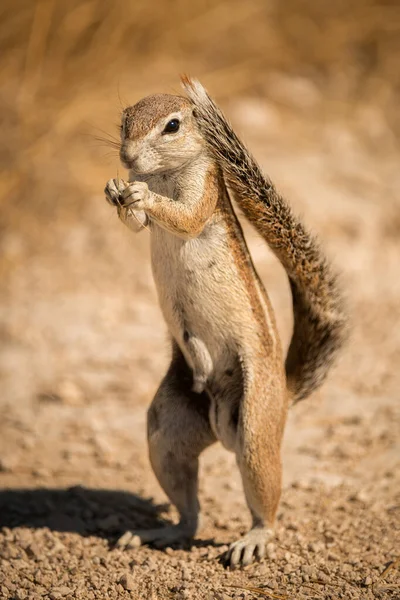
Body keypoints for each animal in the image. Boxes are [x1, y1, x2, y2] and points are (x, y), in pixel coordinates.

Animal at [104, 78, 346, 568]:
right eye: (124, 120)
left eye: (172, 126)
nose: (127, 158)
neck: (164, 175)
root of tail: (284, 392)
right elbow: (137, 225)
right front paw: (116, 190)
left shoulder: (204, 191)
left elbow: (183, 217)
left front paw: (142, 197)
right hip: (166, 431)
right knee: (189, 515)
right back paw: (157, 532)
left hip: (255, 426)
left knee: (264, 498)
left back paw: (253, 538)